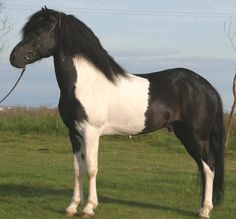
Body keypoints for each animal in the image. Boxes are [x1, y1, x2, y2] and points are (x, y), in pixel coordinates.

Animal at [10, 7, 225, 219]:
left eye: (40, 31)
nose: (14, 58)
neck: (86, 84)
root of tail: (208, 87)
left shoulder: (90, 132)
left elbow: (91, 168)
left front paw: (89, 208)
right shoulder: (74, 133)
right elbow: (78, 170)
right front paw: (72, 207)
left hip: (196, 137)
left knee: (209, 168)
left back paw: (205, 210)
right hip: (186, 135)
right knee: (203, 168)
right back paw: (201, 208)